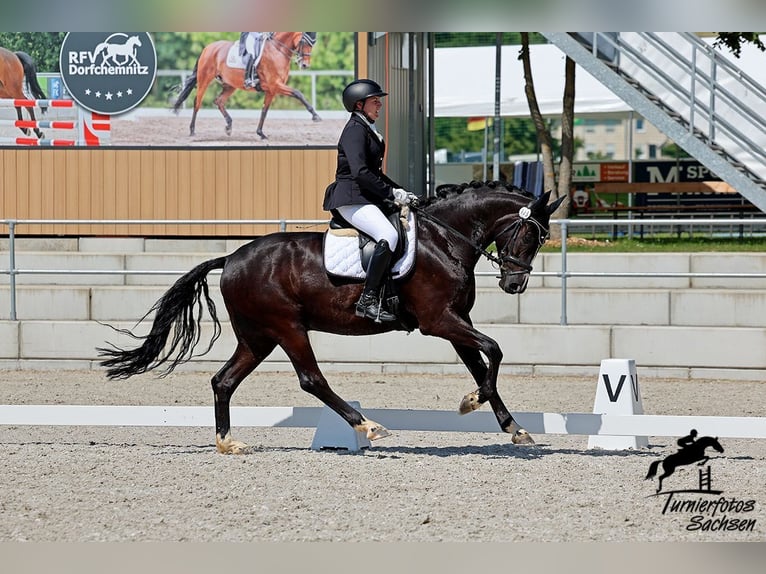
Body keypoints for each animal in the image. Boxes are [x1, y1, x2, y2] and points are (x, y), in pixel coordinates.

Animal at [98, 181, 566, 454]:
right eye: (529, 234)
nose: (514, 285)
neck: (443, 239)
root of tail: (230, 258)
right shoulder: (439, 321)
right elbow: (495, 351)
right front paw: (472, 403)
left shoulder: (454, 323)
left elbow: (482, 365)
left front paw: (513, 427)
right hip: (287, 328)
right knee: (311, 380)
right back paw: (369, 427)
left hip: (258, 337)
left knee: (223, 381)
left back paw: (228, 443)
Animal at [171, 32, 320, 140]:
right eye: (303, 42)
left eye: (313, 44)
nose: (305, 65)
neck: (277, 50)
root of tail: (207, 48)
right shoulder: (275, 85)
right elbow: (298, 93)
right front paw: (315, 115)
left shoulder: (272, 90)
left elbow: (264, 111)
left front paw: (260, 133)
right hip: (204, 79)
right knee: (197, 102)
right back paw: (192, 130)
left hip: (230, 85)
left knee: (219, 101)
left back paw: (229, 126)